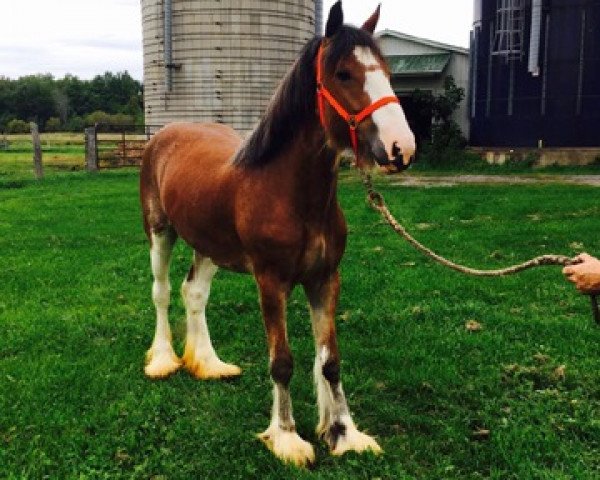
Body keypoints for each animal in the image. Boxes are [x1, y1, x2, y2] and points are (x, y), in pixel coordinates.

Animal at [138, 0, 414, 464]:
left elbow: (330, 361)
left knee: (194, 293)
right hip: (161, 232)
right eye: (343, 74)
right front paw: (286, 437)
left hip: (208, 245)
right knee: (161, 292)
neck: (291, 193)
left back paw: (208, 364)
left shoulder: (325, 279)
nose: (400, 147)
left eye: (388, 71)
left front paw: (343, 433)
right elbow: (282, 362)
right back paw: (162, 360)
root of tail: (166, 134)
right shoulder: (271, 282)